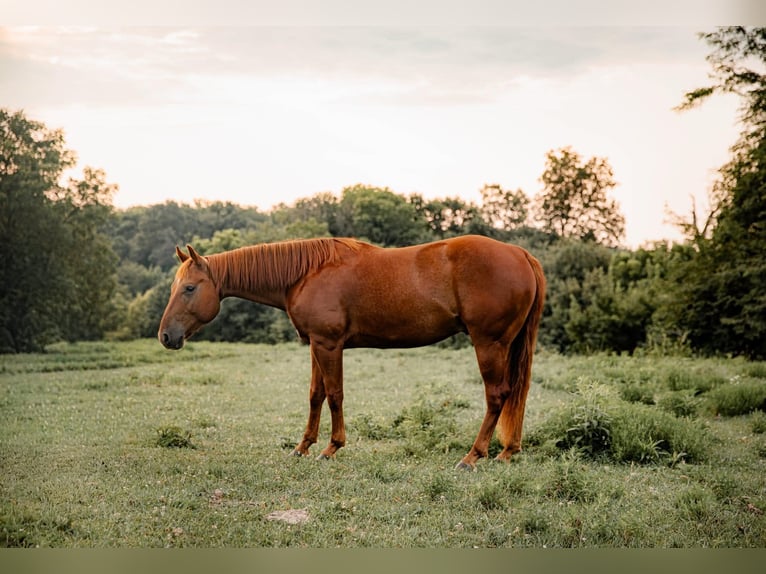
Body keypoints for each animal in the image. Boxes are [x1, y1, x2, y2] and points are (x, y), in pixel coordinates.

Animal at [158, 235, 546, 469]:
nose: (166, 336)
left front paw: (332, 448)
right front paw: (302, 446)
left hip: (489, 343)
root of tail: (521, 254)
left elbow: (334, 395)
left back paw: (473, 456)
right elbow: (315, 395)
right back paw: (508, 451)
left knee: (497, 396)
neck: (305, 273)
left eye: (189, 288)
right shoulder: (316, 344)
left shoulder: (329, 344)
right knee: (513, 396)